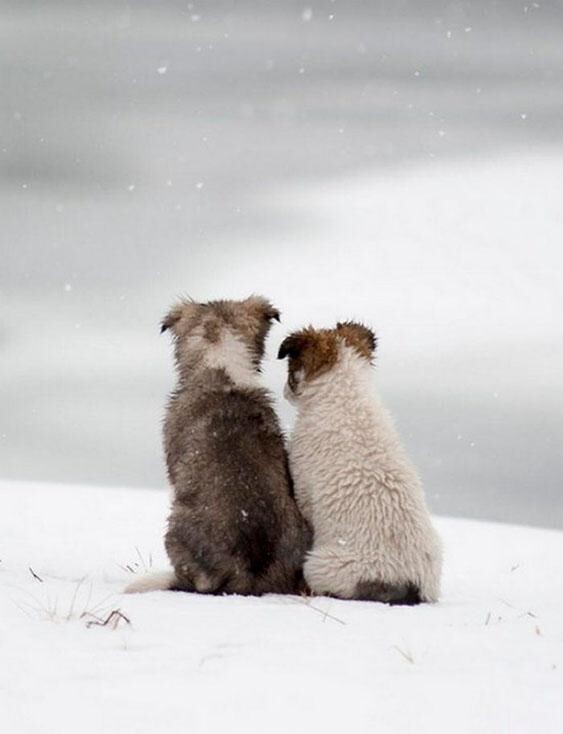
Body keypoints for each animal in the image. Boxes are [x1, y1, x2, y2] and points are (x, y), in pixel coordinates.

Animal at [280, 324, 442, 608]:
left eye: (291, 368)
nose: (284, 392)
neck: (346, 393)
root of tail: (414, 584)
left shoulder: (303, 487)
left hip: (322, 564)